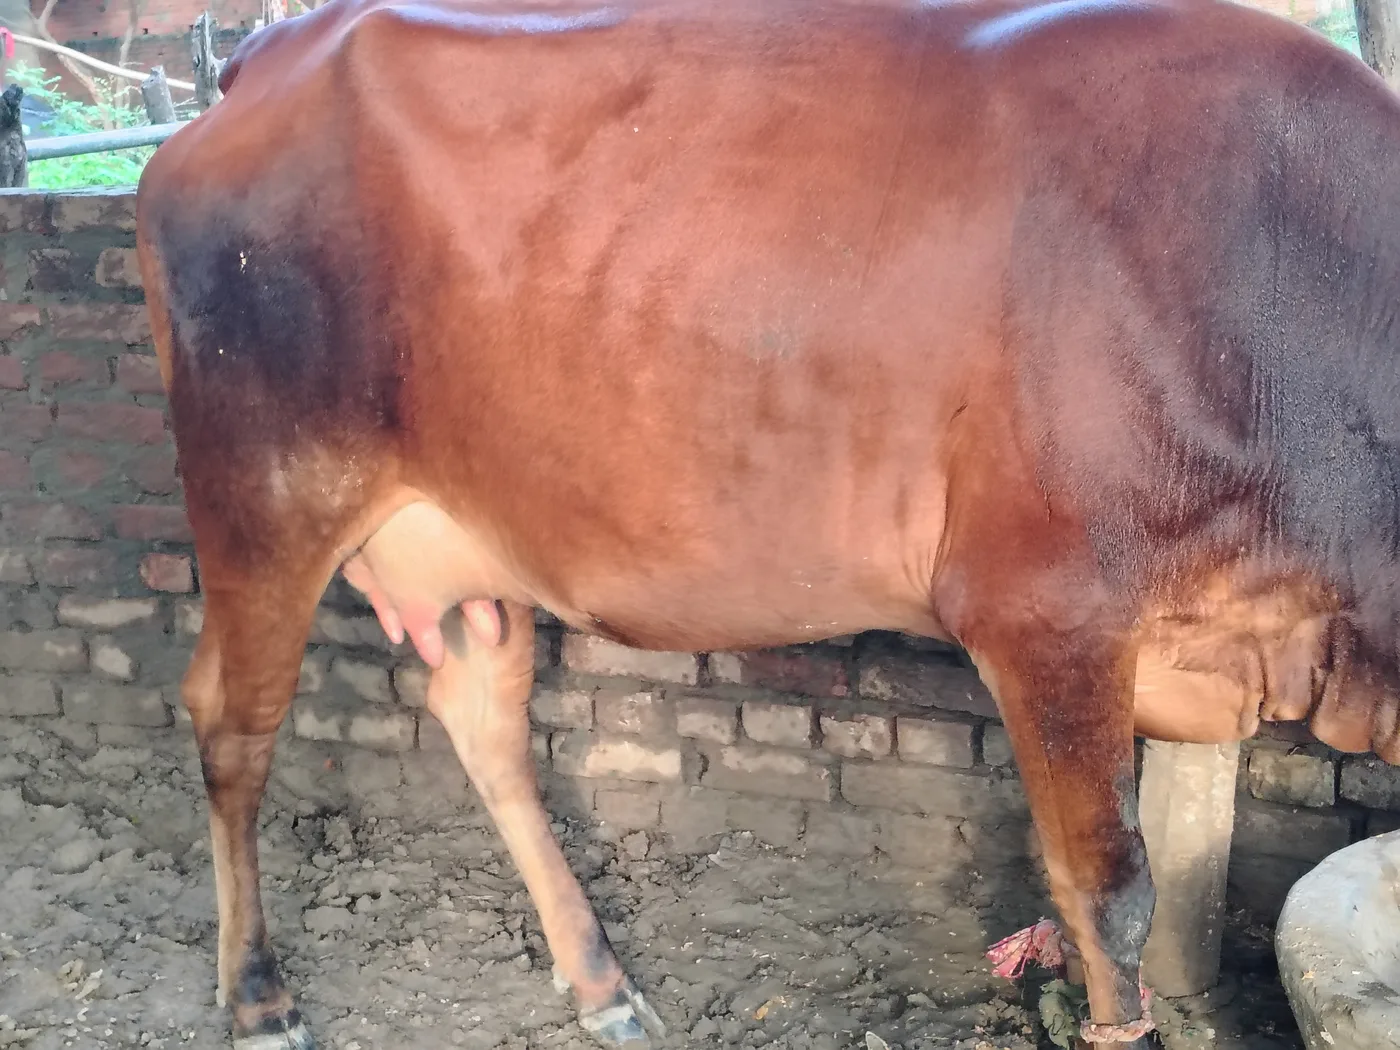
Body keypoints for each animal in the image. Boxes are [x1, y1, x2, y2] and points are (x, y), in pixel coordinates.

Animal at [133, 0, 1400, 1045]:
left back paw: (602, 986)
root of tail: (269, 55)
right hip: (264, 490)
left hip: (470, 526)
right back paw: (259, 998)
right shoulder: (1047, 615)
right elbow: (1107, 894)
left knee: (480, 718)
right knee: (231, 721)